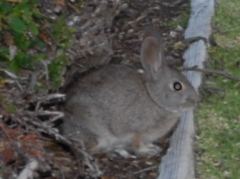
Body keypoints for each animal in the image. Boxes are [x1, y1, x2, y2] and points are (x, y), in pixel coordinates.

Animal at [62, 34, 199, 155]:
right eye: (177, 86)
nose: (195, 101)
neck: (154, 98)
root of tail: (63, 130)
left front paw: (151, 146)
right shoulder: (137, 131)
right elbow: (137, 143)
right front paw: (147, 150)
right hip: (96, 131)